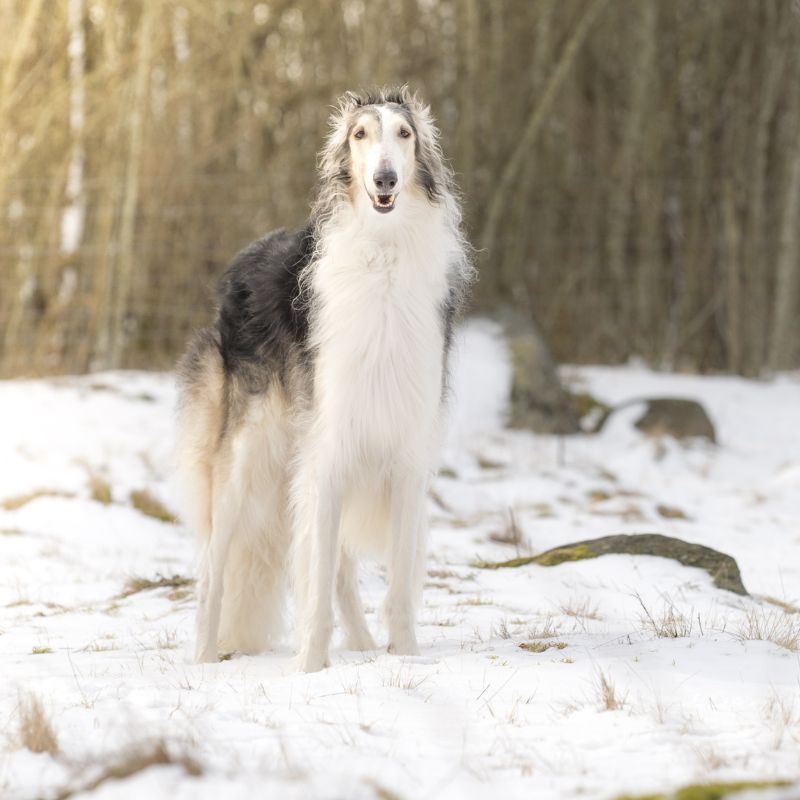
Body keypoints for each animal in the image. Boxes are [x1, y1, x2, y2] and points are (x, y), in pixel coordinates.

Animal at [176, 87, 472, 668]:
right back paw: (204, 658)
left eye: (404, 134)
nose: (385, 180)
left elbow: (396, 584)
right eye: (359, 134)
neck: (382, 255)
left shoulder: (404, 453)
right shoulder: (331, 445)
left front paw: (404, 656)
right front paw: (310, 667)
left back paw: (361, 644)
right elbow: (313, 577)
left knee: (335, 570)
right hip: (246, 458)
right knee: (214, 569)